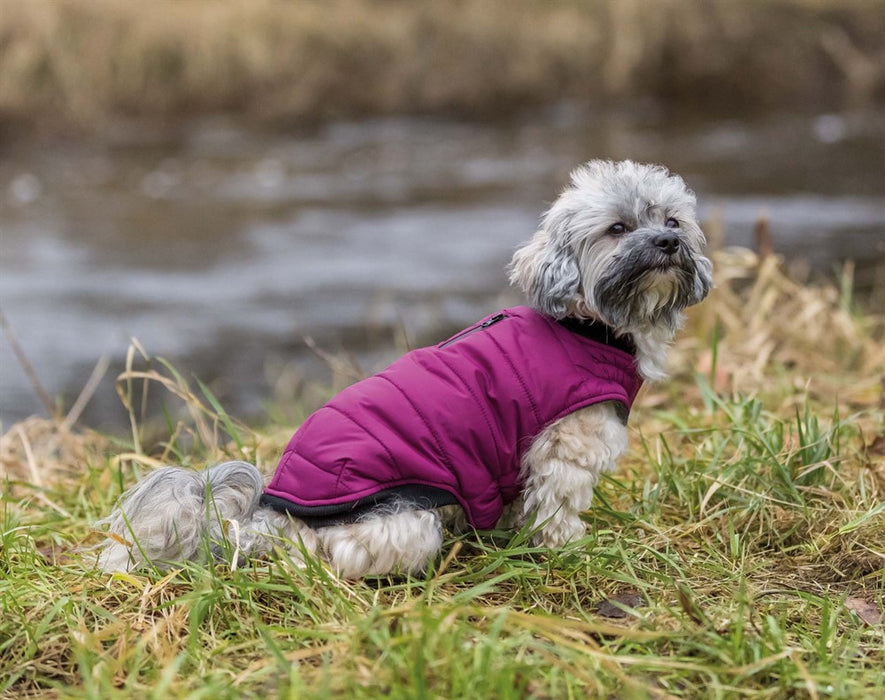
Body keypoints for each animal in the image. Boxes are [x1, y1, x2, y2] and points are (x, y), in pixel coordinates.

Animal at [93, 160, 712, 580]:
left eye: (672, 219)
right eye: (617, 228)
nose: (667, 241)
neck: (586, 326)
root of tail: (266, 513)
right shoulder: (565, 448)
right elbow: (557, 507)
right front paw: (569, 547)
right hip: (406, 520)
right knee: (335, 556)